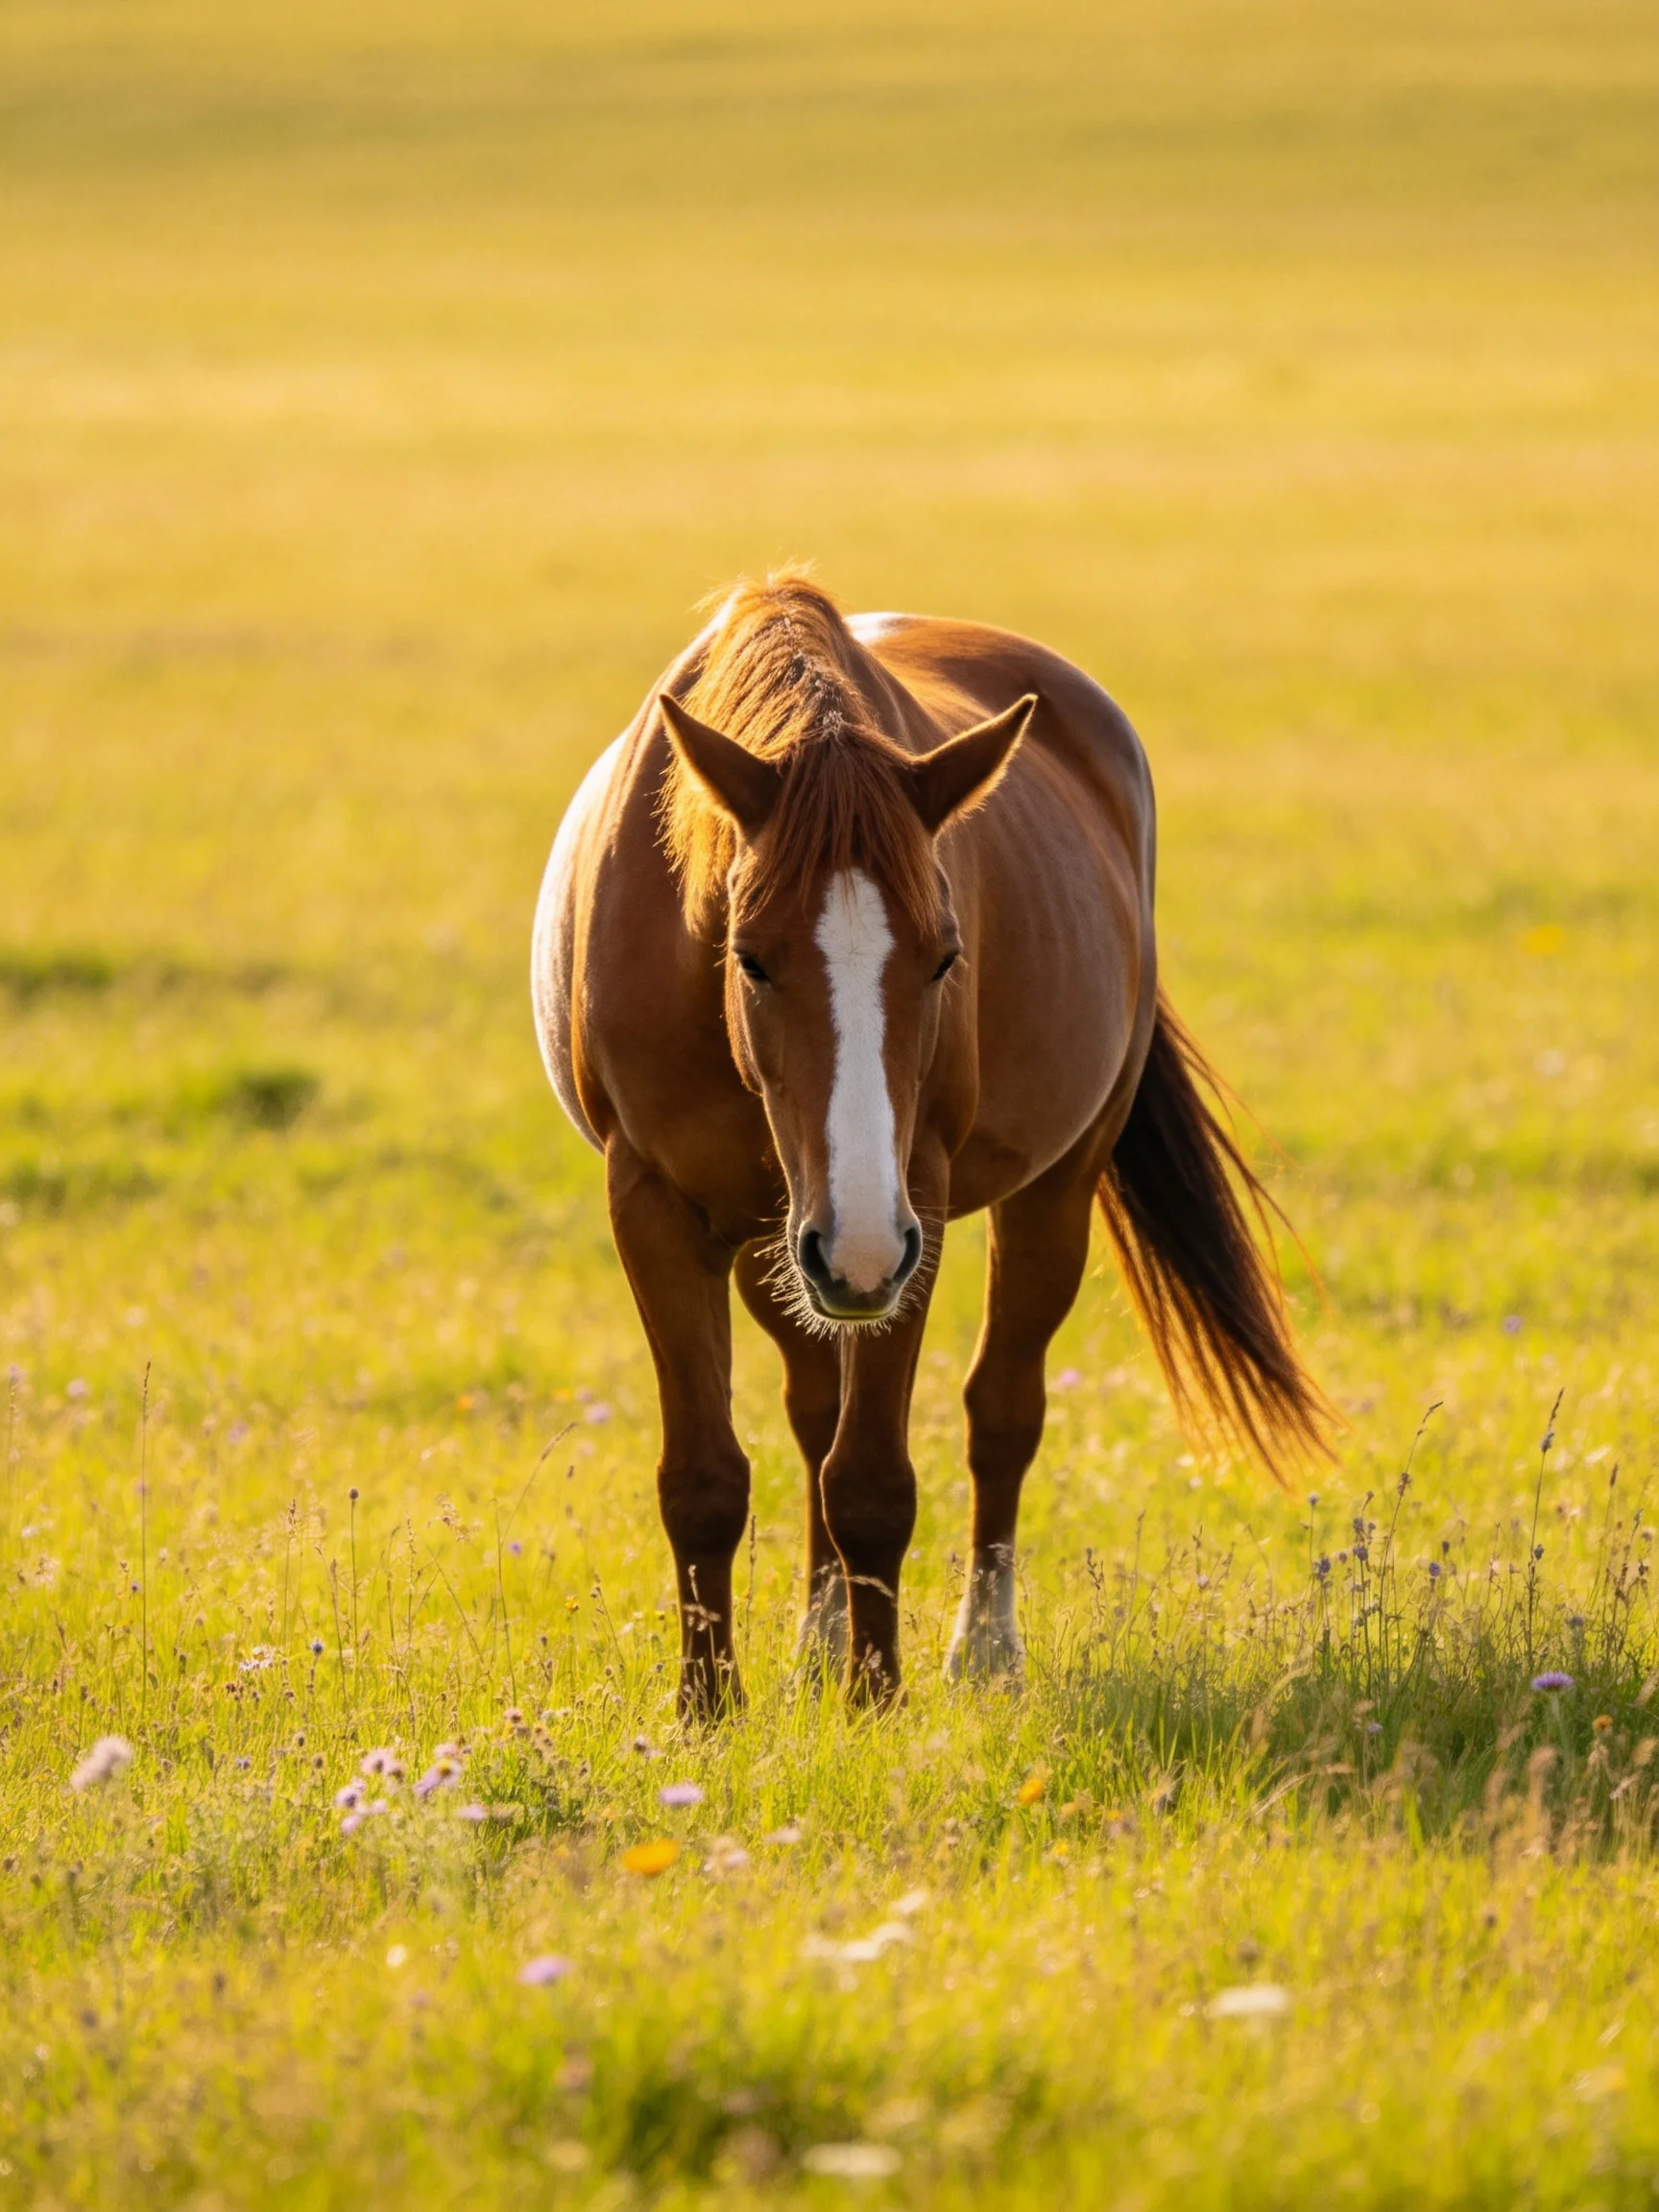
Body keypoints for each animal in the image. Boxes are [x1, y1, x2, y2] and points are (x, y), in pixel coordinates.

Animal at [532, 571, 1328, 1714]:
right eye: (750, 955)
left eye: (946, 957)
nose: (857, 1246)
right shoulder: (656, 1208)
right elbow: (705, 1478)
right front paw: (705, 1712)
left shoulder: (912, 1212)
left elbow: (871, 1478)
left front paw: (875, 1700)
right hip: (786, 1247)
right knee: (814, 1406)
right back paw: (817, 1642)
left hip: (1042, 1196)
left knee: (1001, 1412)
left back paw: (981, 1649)